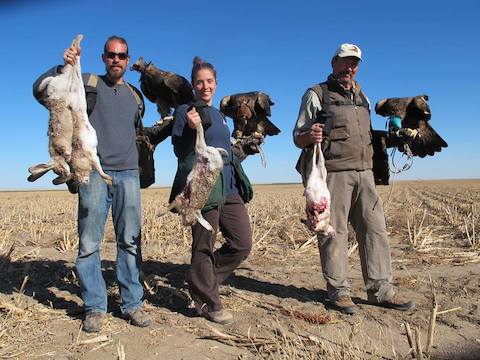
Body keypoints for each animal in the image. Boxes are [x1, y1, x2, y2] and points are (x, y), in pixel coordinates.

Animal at [28, 34, 112, 187]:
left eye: (59, 171)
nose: (82, 181)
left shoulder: (92, 156)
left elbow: (100, 170)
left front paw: (109, 179)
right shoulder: (92, 155)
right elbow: (99, 169)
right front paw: (109, 179)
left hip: (66, 84)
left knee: (71, 68)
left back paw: (78, 42)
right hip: (68, 85)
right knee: (69, 69)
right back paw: (76, 46)